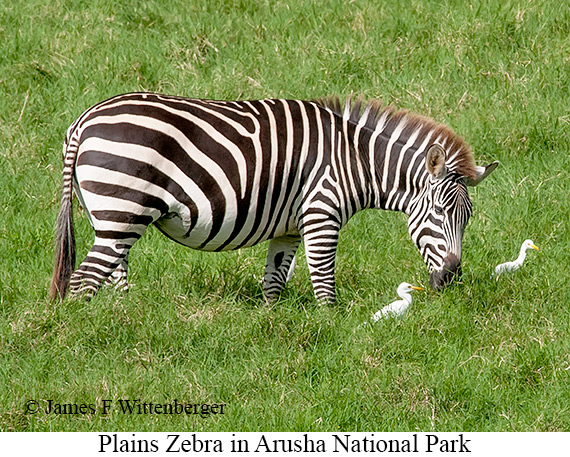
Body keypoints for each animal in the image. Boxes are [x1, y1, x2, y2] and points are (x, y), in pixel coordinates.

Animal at [50, 92, 496, 302]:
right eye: (438, 211)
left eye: (468, 217)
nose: (451, 278)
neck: (354, 160)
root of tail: (85, 120)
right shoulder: (321, 215)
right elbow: (324, 283)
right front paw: (331, 331)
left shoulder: (288, 230)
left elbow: (274, 284)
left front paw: (272, 330)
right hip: (121, 209)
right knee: (84, 281)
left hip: (114, 217)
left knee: (113, 275)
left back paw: (125, 319)